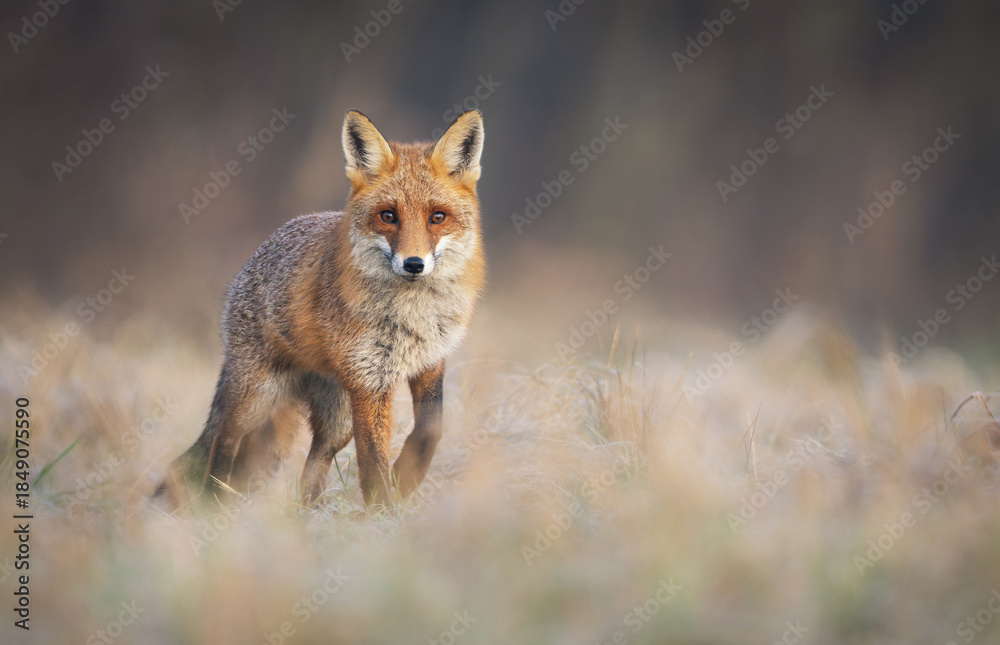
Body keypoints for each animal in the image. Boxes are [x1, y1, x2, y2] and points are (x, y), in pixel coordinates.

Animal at [154, 109, 486, 509]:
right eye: (388, 216)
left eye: (438, 217)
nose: (414, 264)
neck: (413, 315)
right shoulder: (369, 381)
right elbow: (372, 458)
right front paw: (382, 510)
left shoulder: (429, 361)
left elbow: (430, 430)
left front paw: (405, 478)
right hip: (258, 398)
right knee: (223, 440)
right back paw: (212, 505)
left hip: (336, 419)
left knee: (313, 466)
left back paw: (306, 515)